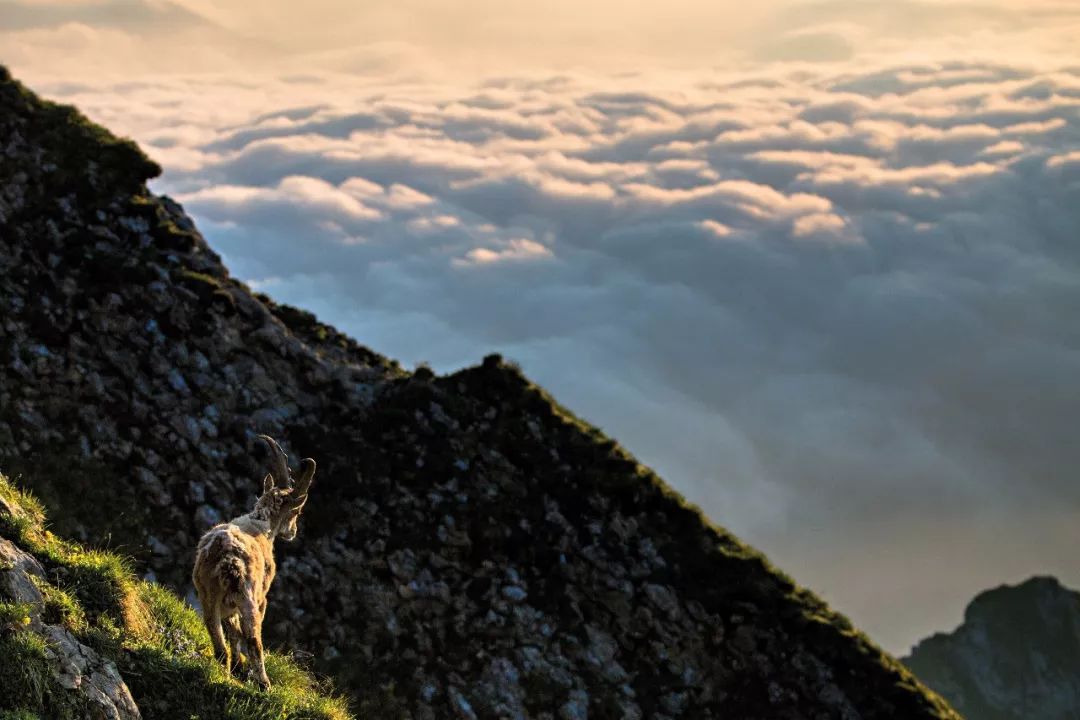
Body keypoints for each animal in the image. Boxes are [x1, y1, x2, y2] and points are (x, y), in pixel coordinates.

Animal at [192, 436, 315, 690]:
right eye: (296, 512)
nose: (292, 532)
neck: (261, 524)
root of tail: (228, 558)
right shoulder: (262, 597)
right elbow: (243, 633)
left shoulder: (226, 605)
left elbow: (232, 630)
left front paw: (238, 667)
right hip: (248, 596)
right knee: (253, 637)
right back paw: (264, 684)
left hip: (209, 595)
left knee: (217, 635)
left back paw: (227, 669)